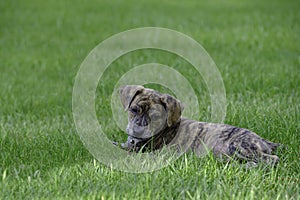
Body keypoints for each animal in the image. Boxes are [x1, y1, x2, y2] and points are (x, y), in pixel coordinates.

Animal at [115, 84, 282, 166]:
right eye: (134, 110)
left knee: (271, 159)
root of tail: (263, 140)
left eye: (155, 117)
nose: (138, 129)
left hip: (238, 146)